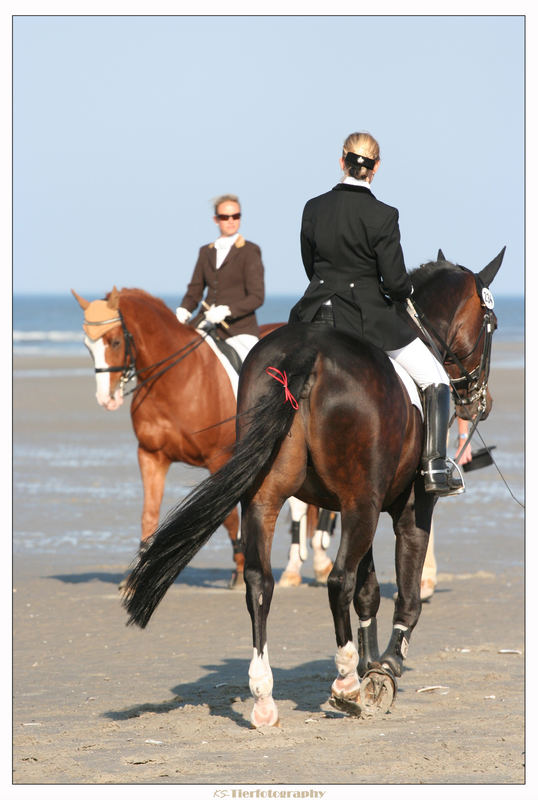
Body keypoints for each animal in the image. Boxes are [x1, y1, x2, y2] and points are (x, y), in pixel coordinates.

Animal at [71, 290, 330, 588]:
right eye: (87, 346)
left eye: (114, 341)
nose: (107, 399)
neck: (178, 380)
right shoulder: (150, 455)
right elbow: (149, 514)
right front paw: (137, 574)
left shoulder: (219, 459)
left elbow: (229, 518)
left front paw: (239, 570)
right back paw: (297, 569)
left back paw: (317, 564)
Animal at [121, 253, 502, 728]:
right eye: (491, 323)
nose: (480, 402)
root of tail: (308, 353)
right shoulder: (409, 505)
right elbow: (403, 594)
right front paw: (384, 668)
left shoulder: (355, 505)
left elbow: (368, 591)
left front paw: (368, 664)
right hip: (362, 505)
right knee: (338, 580)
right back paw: (345, 683)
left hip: (269, 498)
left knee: (259, 581)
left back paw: (265, 698)